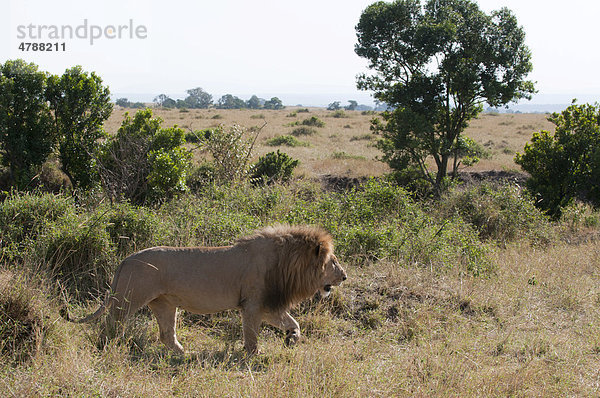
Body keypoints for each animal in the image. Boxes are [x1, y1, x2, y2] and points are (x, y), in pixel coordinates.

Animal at [65, 224, 346, 354]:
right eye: (333, 261)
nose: (344, 276)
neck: (285, 262)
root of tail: (125, 259)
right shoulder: (252, 305)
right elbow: (251, 335)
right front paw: (253, 354)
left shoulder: (267, 305)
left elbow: (292, 322)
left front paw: (292, 338)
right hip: (128, 299)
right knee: (111, 325)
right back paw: (104, 347)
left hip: (164, 303)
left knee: (166, 334)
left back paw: (184, 354)